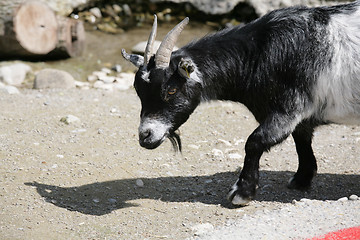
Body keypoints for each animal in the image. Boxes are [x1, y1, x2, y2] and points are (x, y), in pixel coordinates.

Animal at [121, 0, 360, 205]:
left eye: (171, 90)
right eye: (138, 91)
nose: (145, 136)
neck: (261, 53)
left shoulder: (289, 108)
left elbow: (255, 141)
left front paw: (242, 192)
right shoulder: (298, 115)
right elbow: (301, 141)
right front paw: (301, 180)